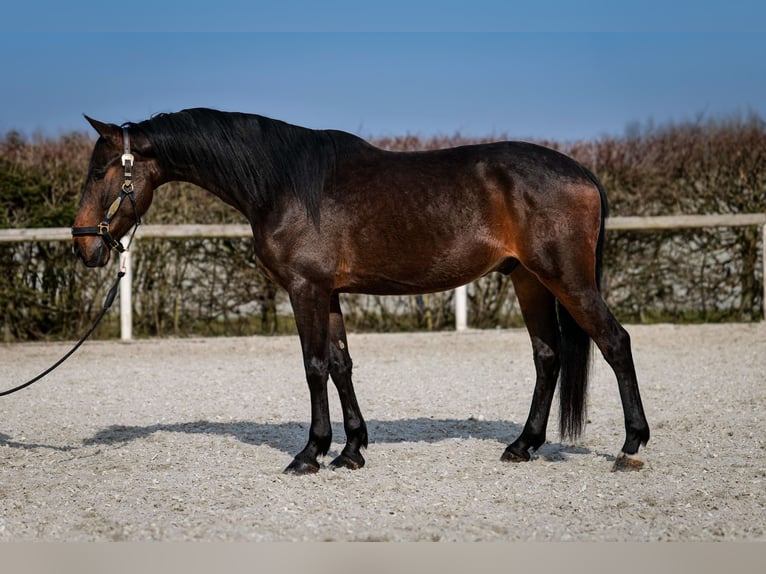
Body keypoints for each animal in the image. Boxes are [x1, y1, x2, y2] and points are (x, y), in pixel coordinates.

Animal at [72, 109, 652, 476]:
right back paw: (522, 445)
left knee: (615, 343)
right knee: (549, 355)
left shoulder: (305, 288)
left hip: (566, 279)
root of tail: (582, 173)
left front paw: (309, 453)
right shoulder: (327, 292)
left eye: (100, 171)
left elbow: (313, 366)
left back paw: (630, 447)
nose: (84, 245)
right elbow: (340, 364)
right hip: (528, 278)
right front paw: (351, 450)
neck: (282, 182)